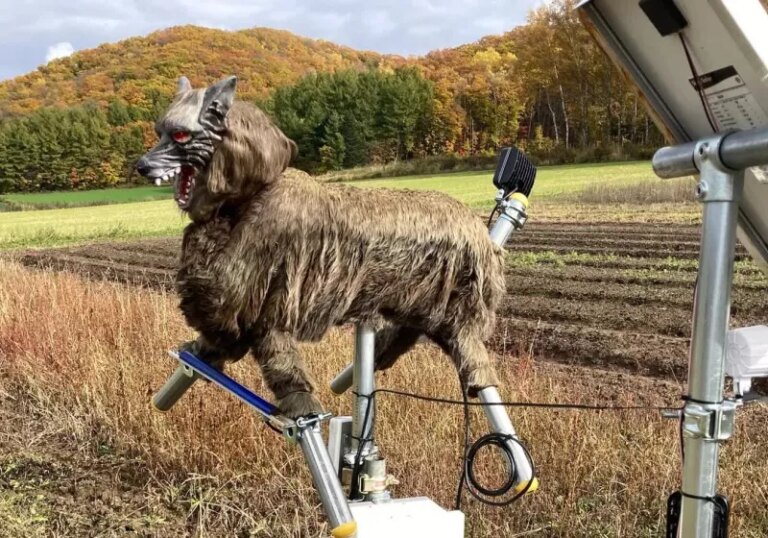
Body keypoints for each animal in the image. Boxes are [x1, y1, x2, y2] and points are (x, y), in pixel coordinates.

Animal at [136, 76, 508, 418]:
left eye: (180, 135)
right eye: (158, 131)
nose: (141, 165)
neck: (251, 191)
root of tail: (480, 232)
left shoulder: (256, 290)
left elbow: (250, 336)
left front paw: (299, 401)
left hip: (458, 311)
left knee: (472, 357)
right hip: (422, 307)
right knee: (415, 341)